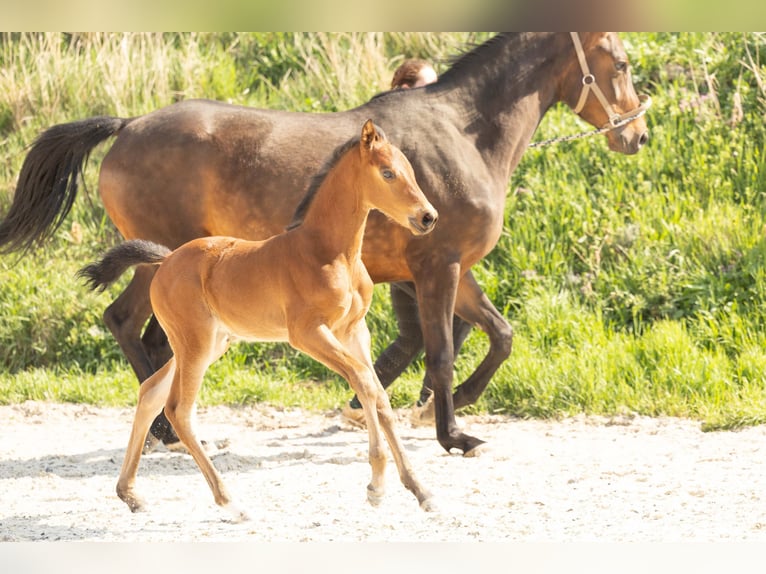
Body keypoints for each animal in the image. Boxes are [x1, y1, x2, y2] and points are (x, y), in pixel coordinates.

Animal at [0, 33, 649, 456]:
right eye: (619, 62)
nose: (637, 134)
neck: (462, 134)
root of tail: (128, 125)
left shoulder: (451, 269)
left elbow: (498, 335)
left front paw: (443, 404)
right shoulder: (437, 266)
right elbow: (441, 349)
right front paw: (452, 433)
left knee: (147, 334)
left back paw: (166, 425)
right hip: (161, 257)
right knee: (129, 324)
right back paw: (165, 429)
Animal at [79, 120, 438, 519]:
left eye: (410, 171)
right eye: (387, 173)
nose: (427, 217)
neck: (328, 253)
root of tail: (166, 259)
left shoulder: (353, 331)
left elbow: (377, 394)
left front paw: (418, 490)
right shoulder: (308, 333)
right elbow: (363, 382)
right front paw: (377, 483)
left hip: (208, 343)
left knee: (150, 393)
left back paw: (130, 494)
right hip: (196, 343)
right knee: (178, 409)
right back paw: (229, 501)